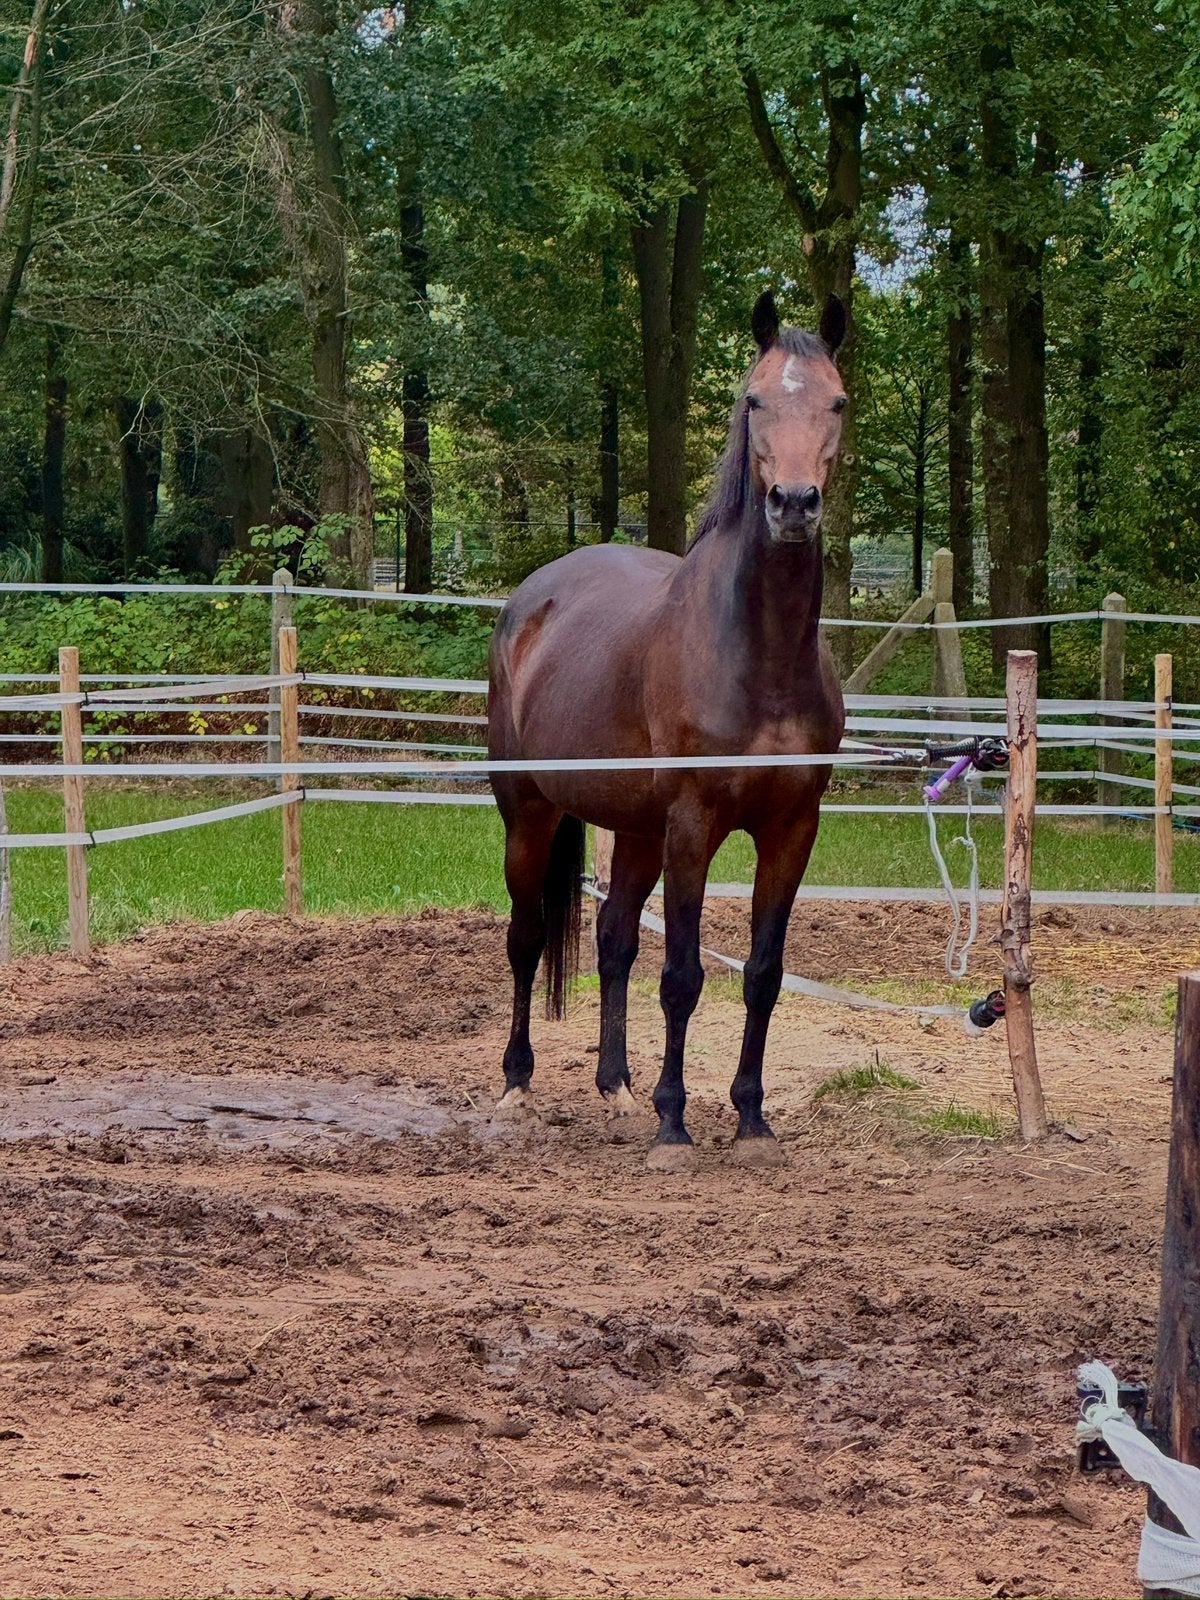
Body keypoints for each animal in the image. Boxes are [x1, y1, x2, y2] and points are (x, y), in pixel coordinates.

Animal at [487, 290, 848, 1169]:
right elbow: (683, 976)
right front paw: (675, 1125)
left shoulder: (793, 827)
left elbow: (762, 973)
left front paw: (751, 1121)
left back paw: (615, 1088)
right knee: (526, 936)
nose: (793, 505)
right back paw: (517, 1086)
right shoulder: (693, 823)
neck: (758, 655)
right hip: (530, 813)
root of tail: (531, 599)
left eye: (838, 402)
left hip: (635, 828)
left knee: (614, 937)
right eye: (754, 400)